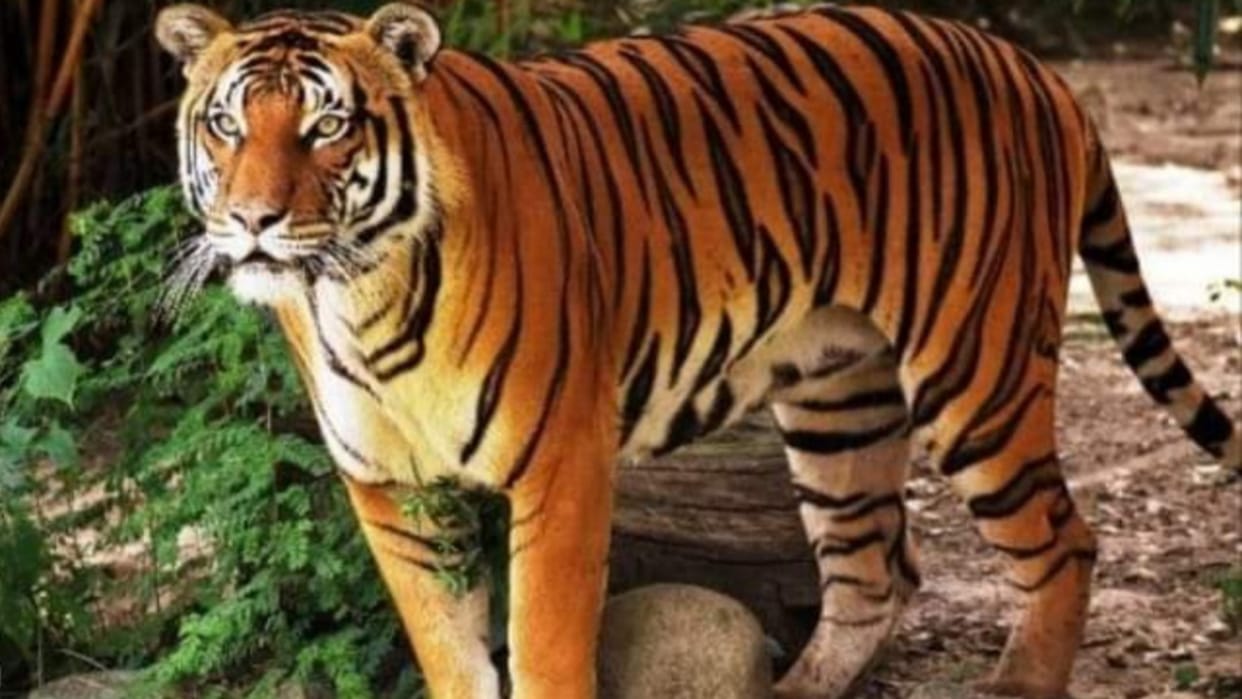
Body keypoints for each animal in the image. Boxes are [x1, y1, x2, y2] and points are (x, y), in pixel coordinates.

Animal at [155, 2, 1240, 698]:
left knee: (1062, 543)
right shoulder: (394, 491)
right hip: (840, 399)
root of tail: (1036, 71)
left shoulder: (562, 464)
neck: (358, 294)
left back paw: (1018, 681)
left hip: (977, 373)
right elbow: (452, 656)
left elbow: (544, 650)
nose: (251, 221)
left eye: (327, 125)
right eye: (226, 123)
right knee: (874, 570)